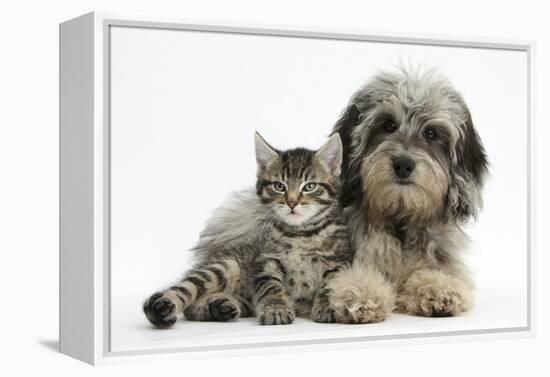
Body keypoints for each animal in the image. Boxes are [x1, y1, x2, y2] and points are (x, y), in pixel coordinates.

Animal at [253, 131, 354, 324]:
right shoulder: (267, 259)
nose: (292, 202)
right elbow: (270, 284)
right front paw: (275, 308)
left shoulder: (338, 260)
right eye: (279, 186)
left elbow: (332, 283)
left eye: (310, 186)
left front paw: (327, 305)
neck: (300, 233)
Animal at [326, 67, 490, 320]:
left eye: (431, 133)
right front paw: (360, 292)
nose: (403, 164)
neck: (400, 220)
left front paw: (438, 288)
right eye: (388, 124)